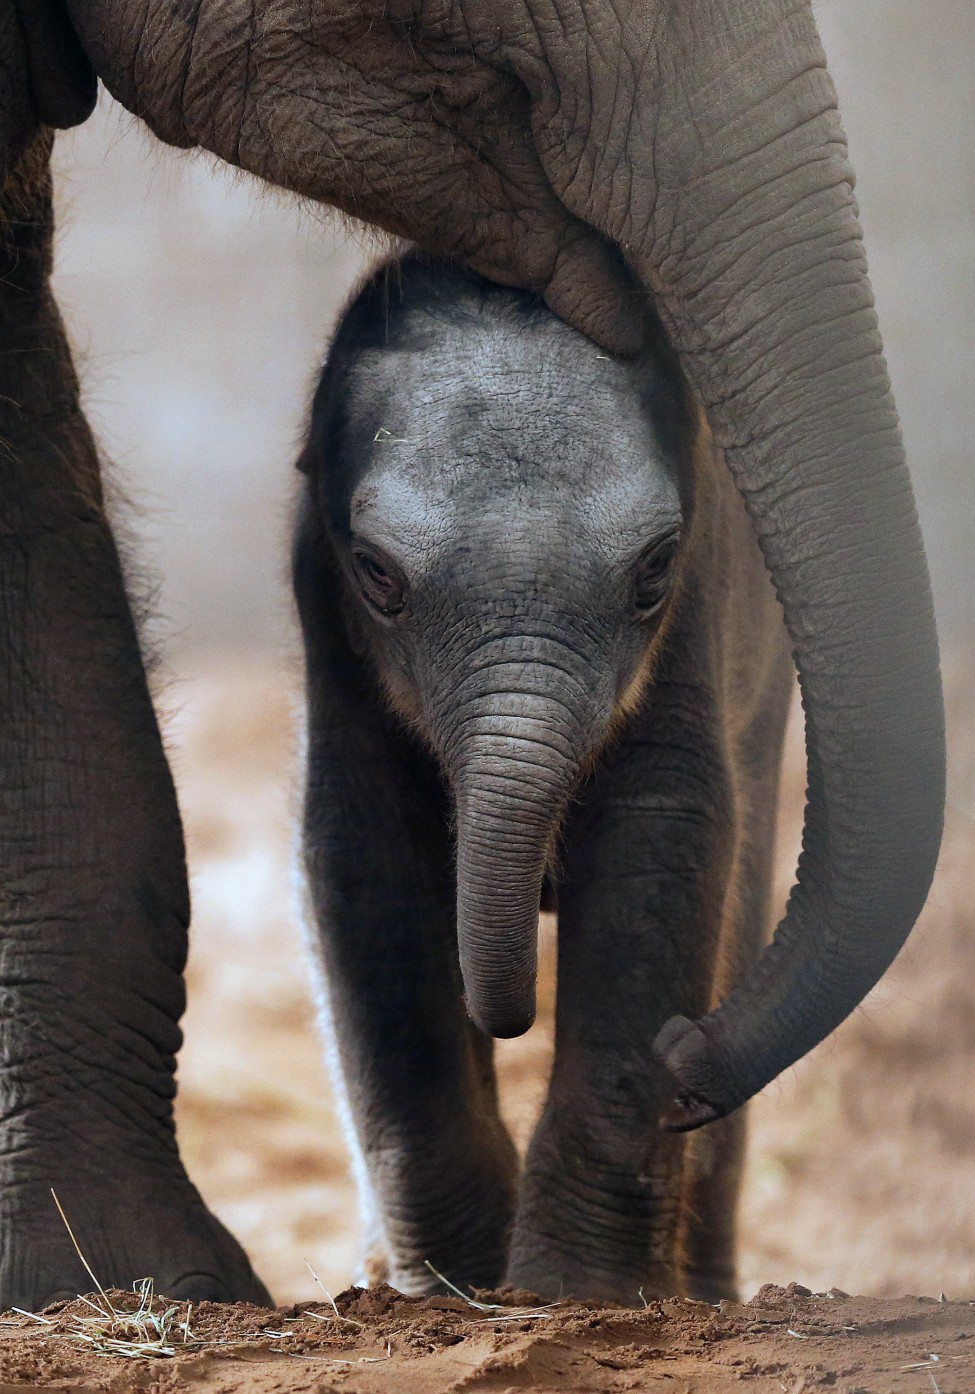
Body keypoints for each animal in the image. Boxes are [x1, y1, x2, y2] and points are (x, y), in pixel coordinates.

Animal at [290, 253, 792, 1304]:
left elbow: (662, 838)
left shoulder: (700, 607)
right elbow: (362, 861)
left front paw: (574, 1296)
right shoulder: (324, 614)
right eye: (376, 574)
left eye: (653, 570)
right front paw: (450, 1295)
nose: (510, 1014)